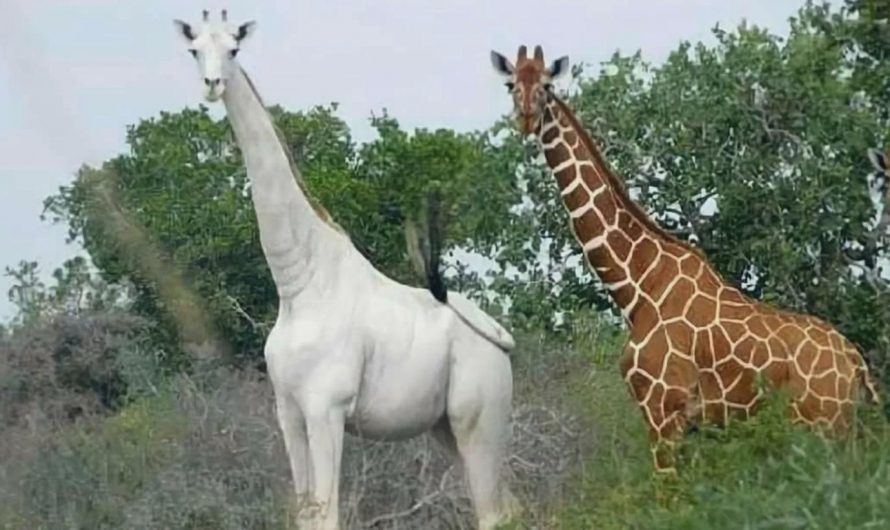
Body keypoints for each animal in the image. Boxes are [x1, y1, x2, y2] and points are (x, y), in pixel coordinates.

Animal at [173, 11, 518, 529]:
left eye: (234, 49)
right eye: (195, 50)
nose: (213, 85)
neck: (299, 285)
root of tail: (502, 340)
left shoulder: (327, 408)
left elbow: (329, 514)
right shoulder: (289, 413)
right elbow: (306, 514)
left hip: (478, 421)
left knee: (494, 513)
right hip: (444, 428)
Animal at [491, 45, 881, 472]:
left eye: (546, 86)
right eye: (511, 84)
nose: (526, 117)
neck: (637, 286)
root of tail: (856, 364)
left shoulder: (663, 411)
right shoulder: (690, 424)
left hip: (827, 427)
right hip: (842, 429)